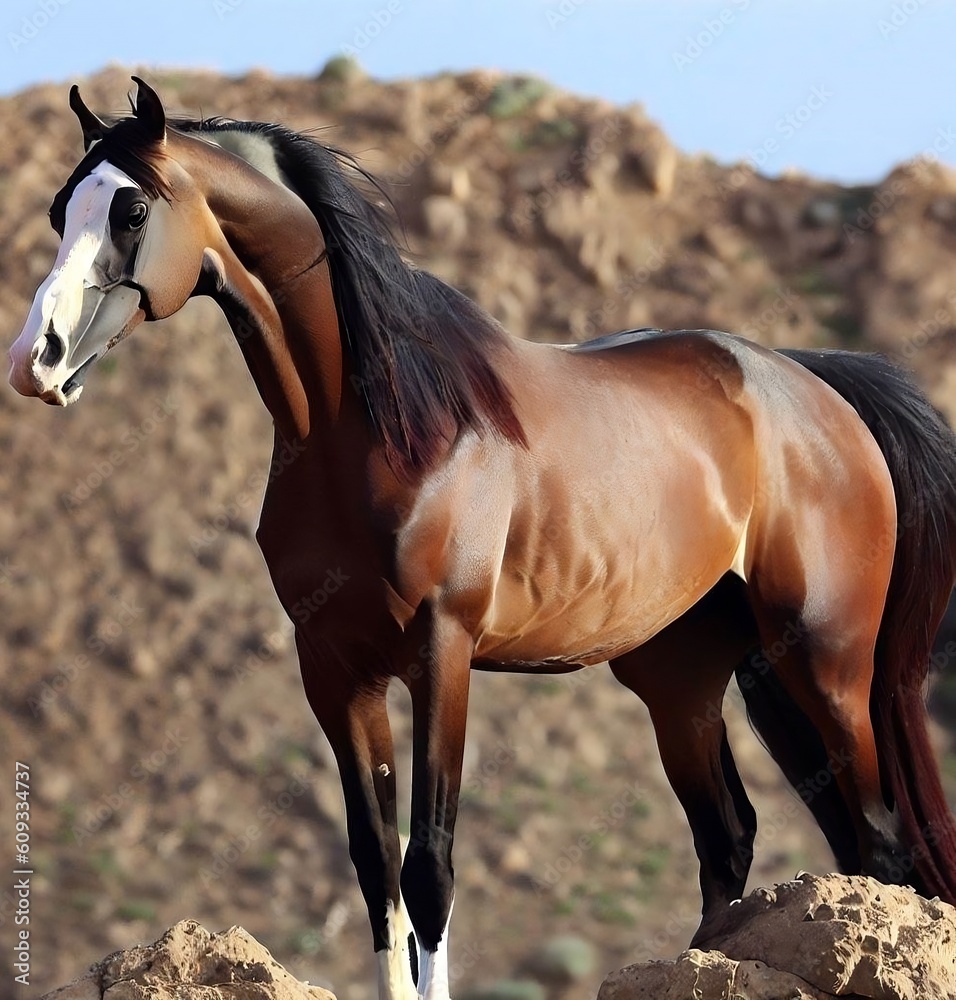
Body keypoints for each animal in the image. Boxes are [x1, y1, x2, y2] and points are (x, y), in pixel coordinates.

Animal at [8, 79, 956, 1000]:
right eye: (59, 208)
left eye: (131, 209)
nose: (34, 360)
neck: (379, 424)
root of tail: (813, 383)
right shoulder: (335, 668)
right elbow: (375, 868)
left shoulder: (442, 654)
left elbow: (429, 869)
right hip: (686, 677)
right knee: (730, 837)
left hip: (827, 662)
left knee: (878, 843)